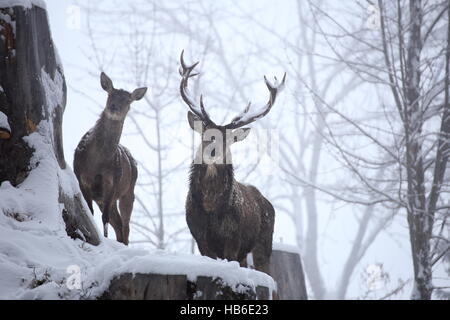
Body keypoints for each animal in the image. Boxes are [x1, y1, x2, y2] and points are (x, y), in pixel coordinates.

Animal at [74, 72, 146, 245]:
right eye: (110, 94)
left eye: (127, 100)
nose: (114, 107)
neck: (96, 162)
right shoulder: (82, 179)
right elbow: (90, 213)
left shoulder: (112, 183)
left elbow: (104, 218)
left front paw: (104, 239)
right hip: (104, 198)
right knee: (118, 225)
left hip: (128, 192)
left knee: (125, 226)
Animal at [179, 51, 284, 274]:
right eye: (205, 135)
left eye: (227, 139)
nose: (212, 151)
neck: (210, 210)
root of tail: (267, 202)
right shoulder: (200, 238)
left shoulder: (233, 240)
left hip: (264, 243)